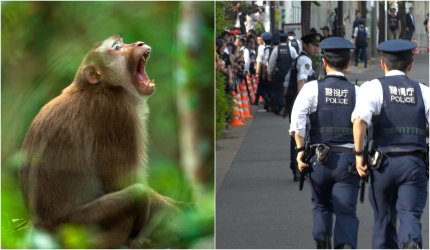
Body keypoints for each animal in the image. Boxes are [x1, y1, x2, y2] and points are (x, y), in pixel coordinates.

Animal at [18, 35, 178, 248]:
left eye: (122, 43)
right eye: (117, 48)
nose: (139, 44)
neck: (102, 87)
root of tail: (43, 230)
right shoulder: (118, 115)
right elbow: (121, 183)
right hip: (81, 226)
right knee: (138, 194)